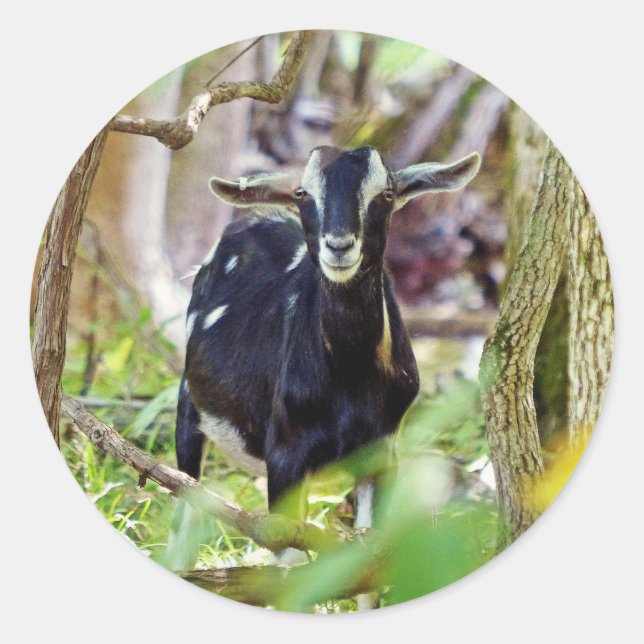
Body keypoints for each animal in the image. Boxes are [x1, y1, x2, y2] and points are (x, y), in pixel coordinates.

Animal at [175, 145, 480, 532]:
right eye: (302, 193)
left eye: (387, 194)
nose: (339, 246)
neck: (351, 378)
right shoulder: (285, 454)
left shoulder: (381, 451)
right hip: (188, 403)